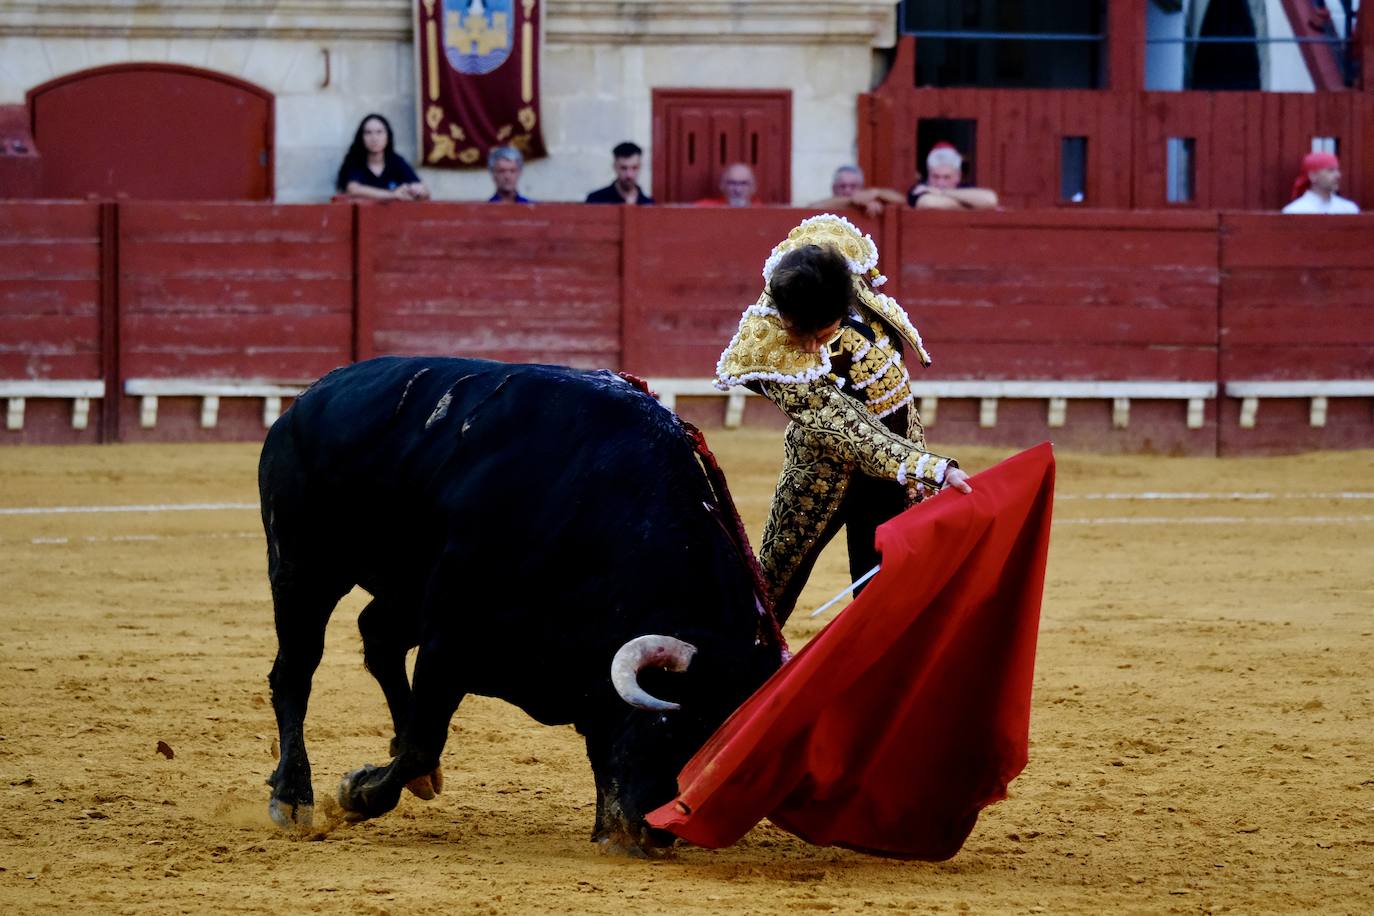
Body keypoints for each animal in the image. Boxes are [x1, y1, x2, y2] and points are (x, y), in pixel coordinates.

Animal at [259, 357, 785, 851]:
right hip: (304, 568)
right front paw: (357, 793)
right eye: (666, 722)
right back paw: (292, 796)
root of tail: (312, 395)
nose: (656, 832)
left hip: (403, 588)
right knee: (296, 670)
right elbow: (425, 740)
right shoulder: (450, 637)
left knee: (378, 637)